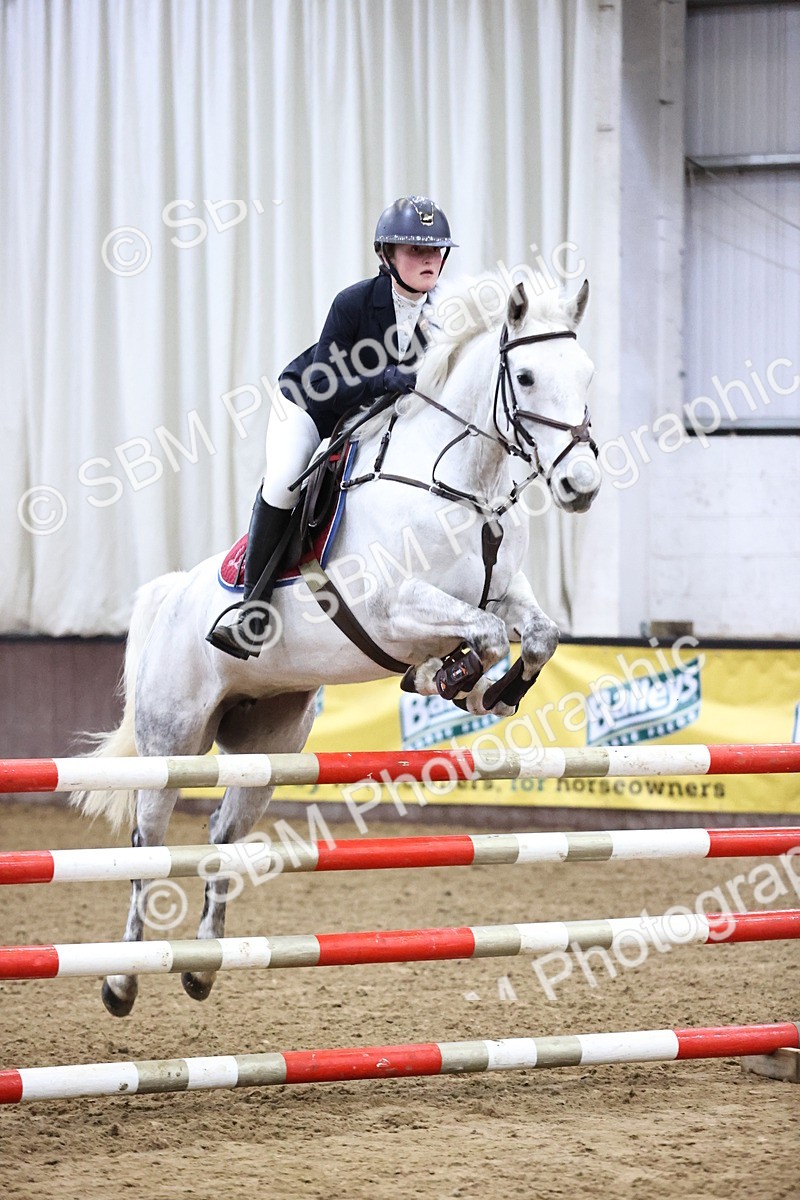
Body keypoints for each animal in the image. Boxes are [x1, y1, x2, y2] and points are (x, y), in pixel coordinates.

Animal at [75, 273, 601, 1016]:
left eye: (586, 374)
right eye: (524, 377)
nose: (581, 487)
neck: (464, 484)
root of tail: (172, 595)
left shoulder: (503, 593)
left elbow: (538, 634)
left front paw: (485, 688)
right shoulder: (391, 609)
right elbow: (485, 632)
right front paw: (451, 676)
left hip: (268, 744)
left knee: (222, 834)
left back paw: (203, 967)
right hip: (172, 738)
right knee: (149, 840)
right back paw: (121, 982)